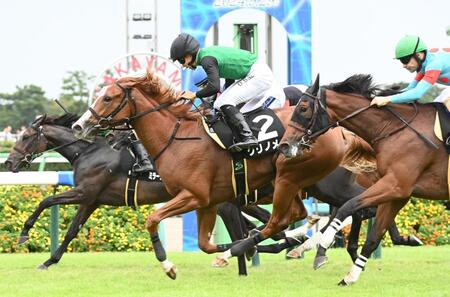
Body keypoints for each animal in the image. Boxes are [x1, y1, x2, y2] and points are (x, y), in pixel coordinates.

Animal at [71, 71, 372, 278]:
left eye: (107, 97)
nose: (79, 126)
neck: (177, 138)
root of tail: (339, 130)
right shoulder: (208, 202)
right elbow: (206, 244)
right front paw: (244, 248)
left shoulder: (193, 196)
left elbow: (153, 219)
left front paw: (168, 265)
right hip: (293, 182)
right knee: (298, 215)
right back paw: (294, 243)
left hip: (298, 179)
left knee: (299, 216)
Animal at [280, 74, 448, 284]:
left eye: (303, 107)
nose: (284, 145)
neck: (393, 130)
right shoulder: (399, 190)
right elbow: (372, 237)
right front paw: (350, 276)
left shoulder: (395, 185)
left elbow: (349, 208)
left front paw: (322, 248)